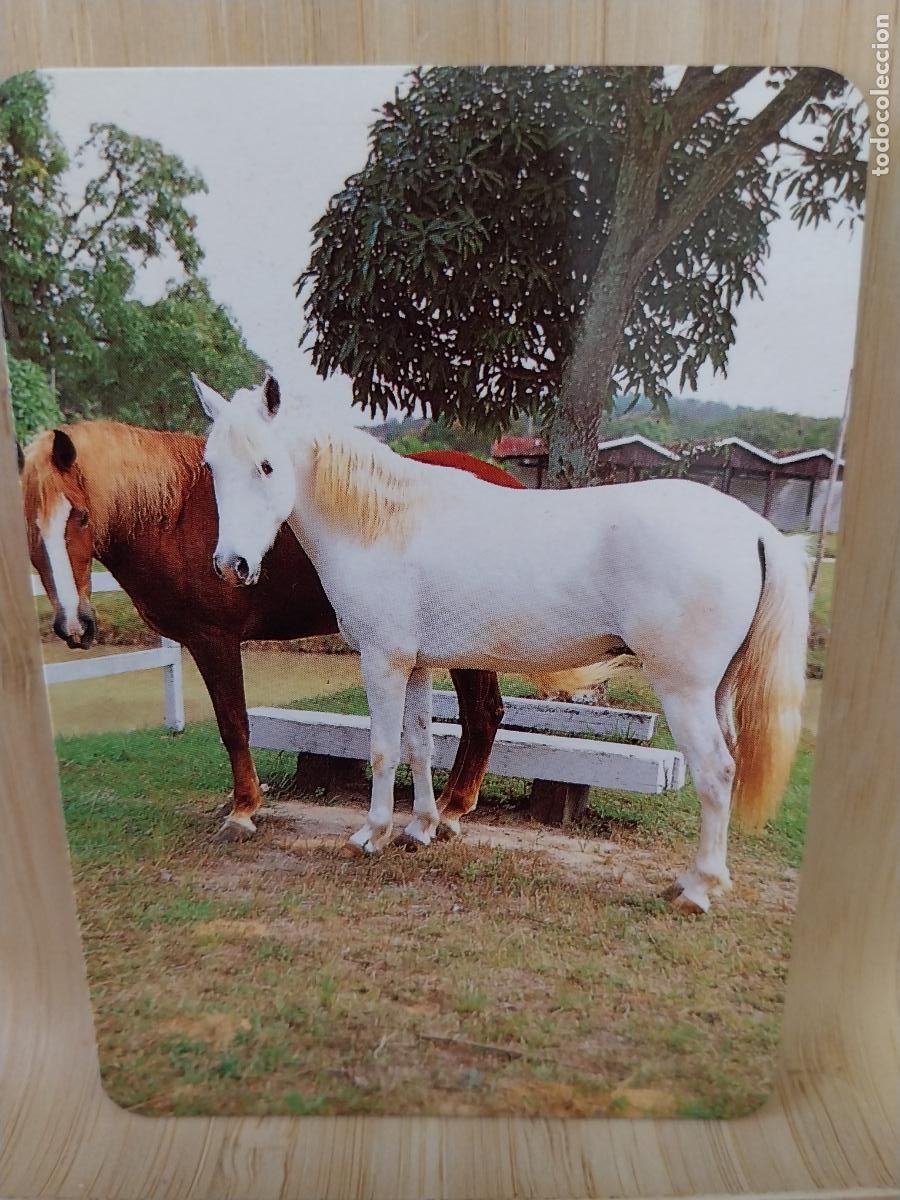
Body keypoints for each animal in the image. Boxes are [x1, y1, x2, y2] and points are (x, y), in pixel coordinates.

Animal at [20, 421, 532, 839]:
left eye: (81, 515)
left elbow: (233, 725)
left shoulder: (215, 640)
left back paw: (450, 811)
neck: (174, 516)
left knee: (483, 715)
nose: (74, 625)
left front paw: (243, 811)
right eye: (28, 525)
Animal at [197, 372, 809, 914]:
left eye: (266, 465)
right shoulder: (416, 665)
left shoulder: (382, 662)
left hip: (684, 691)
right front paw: (419, 828)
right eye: (212, 467)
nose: (231, 566)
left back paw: (696, 890)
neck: (386, 523)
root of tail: (756, 530)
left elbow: (383, 749)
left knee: (716, 773)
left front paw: (372, 835)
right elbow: (420, 745)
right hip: (718, 691)